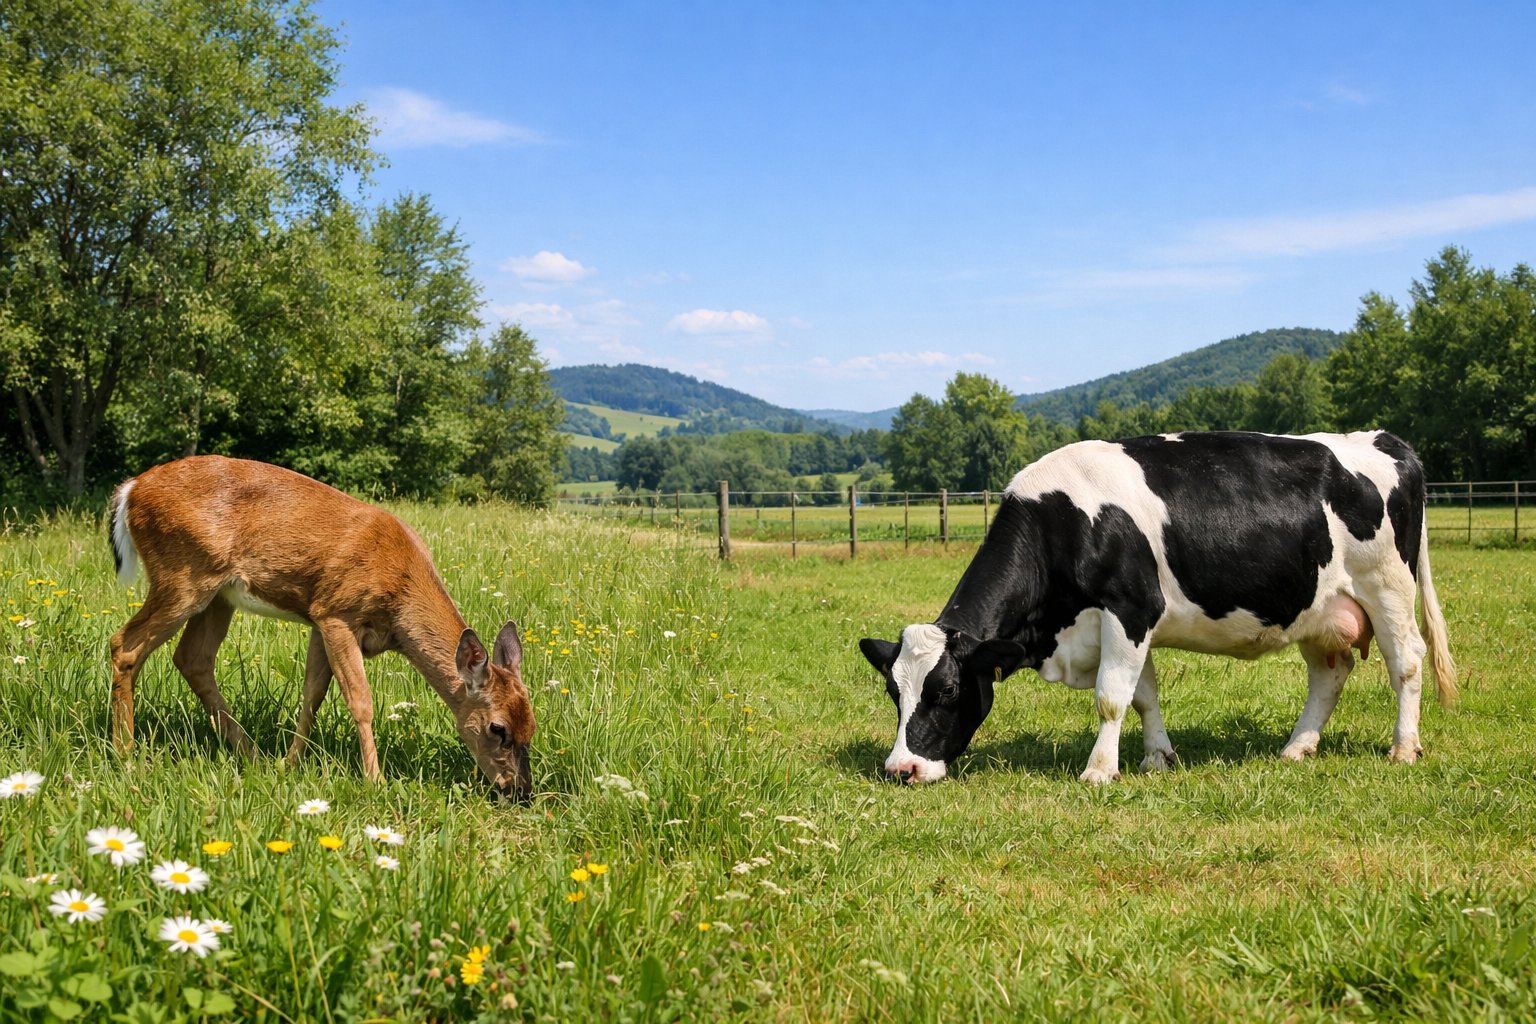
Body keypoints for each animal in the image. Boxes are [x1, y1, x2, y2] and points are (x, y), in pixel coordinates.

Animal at [107, 455, 534, 799]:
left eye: (531, 725)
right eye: (497, 728)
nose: (519, 791)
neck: (399, 592)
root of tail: (130, 489)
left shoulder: (318, 618)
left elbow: (312, 693)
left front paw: (289, 763)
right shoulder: (336, 612)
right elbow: (360, 700)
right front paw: (375, 781)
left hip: (217, 595)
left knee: (192, 658)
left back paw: (252, 754)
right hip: (182, 574)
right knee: (125, 644)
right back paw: (124, 754)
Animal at [859, 431, 1456, 784]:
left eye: (947, 691)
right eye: (893, 691)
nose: (900, 768)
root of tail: (1382, 439)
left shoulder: (1130, 608)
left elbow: (1110, 697)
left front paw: (1099, 772)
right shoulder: (1126, 622)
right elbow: (1143, 696)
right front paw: (1155, 758)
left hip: (1387, 587)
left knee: (1407, 662)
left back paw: (1404, 748)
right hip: (1318, 607)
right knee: (1331, 673)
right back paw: (1296, 748)